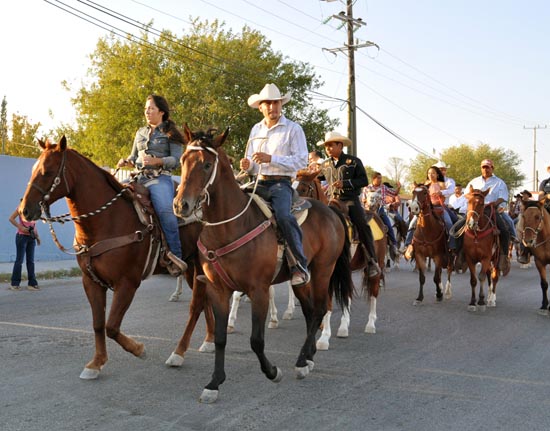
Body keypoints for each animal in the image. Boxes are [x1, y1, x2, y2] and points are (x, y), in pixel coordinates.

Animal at [19, 137, 215, 380]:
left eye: (46, 172)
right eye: (33, 169)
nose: (24, 210)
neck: (107, 221)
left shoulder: (127, 283)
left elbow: (111, 325)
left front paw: (138, 349)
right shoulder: (91, 282)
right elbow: (98, 323)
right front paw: (96, 363)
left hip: (198, 265)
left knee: (196, 305)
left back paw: (179, 354)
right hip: (190, 269)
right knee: (205, 301)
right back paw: (209, 340)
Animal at [174, 126, 354, 404]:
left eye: (206, 164)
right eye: (183, 160)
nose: (181, 205)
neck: (230, 226)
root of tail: (331, 210)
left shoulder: (258, 290)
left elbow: (256, 340)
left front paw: (272, 371)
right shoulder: (218, 289)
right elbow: (221, 338)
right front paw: (214, 384)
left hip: (323, 270)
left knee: (320, 309)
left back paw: (302, 362)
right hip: (301, 279)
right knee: (310, 311)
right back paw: (308, 357)